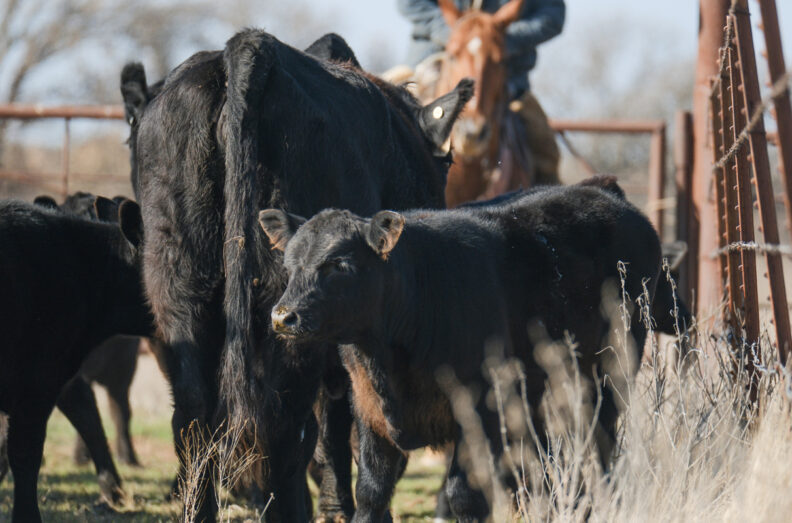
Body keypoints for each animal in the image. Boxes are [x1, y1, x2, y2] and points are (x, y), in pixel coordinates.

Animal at [122, 29, 472, 521]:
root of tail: (248, 46)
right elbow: (343, 420)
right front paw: (341, 504)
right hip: (287, 309)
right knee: (283, 425)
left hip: (178, 284)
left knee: (193, 419)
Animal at [258, 180, 667, 521]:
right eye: (290, 264)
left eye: (339, 265)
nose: (282, 316)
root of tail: (601, 191)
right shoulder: (368, 409)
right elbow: (372, 493)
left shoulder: (481, 408)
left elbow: (462, 495)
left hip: (610, 377)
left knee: (598, 451)